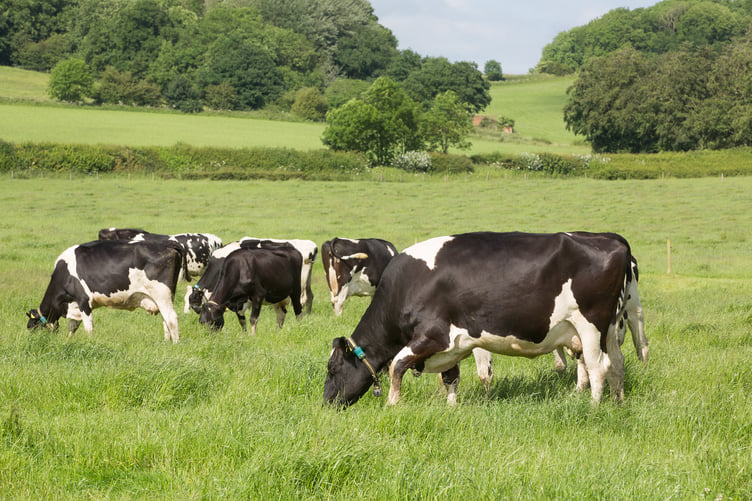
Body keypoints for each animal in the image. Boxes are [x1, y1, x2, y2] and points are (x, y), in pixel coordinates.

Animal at [26, 239, 190, 342]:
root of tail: (169, 243)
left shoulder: (83, 300)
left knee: (171, 319)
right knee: (165, 320)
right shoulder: (75, 305)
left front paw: (90, 343)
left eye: (32, 327)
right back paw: (166, 342)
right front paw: (68, 341)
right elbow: (73, 326)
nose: (35, 341)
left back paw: (175, 344)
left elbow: (88, 327)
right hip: (163, 298)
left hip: (162, 294)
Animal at [324, 231, 631, 408]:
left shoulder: (433, 335)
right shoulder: (453, 346)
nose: (327, 401)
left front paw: (392, 405)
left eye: (332, 369)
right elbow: (451, 377)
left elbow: (396, 366)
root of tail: (612, 241)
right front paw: (451, 409)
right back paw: (618, 401)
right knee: (617, 363)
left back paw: (593, 407)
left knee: (598, 367)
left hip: (591, 325)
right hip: (610, 328)